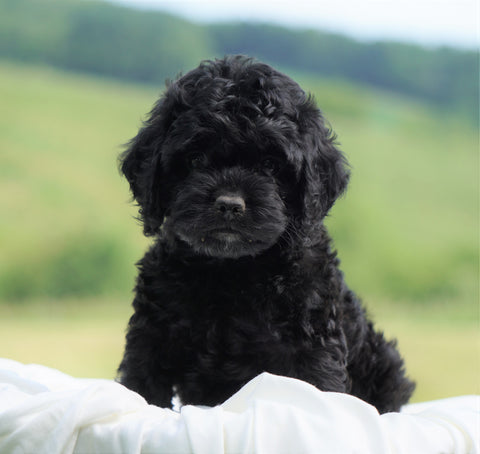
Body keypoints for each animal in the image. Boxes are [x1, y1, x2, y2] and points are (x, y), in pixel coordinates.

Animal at [118, 55, 414, 414]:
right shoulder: (152, 335)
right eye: (196, 159)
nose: (230, 205)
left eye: (271, 165)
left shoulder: (311, 346)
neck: (232, 272)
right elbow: (141, 385)